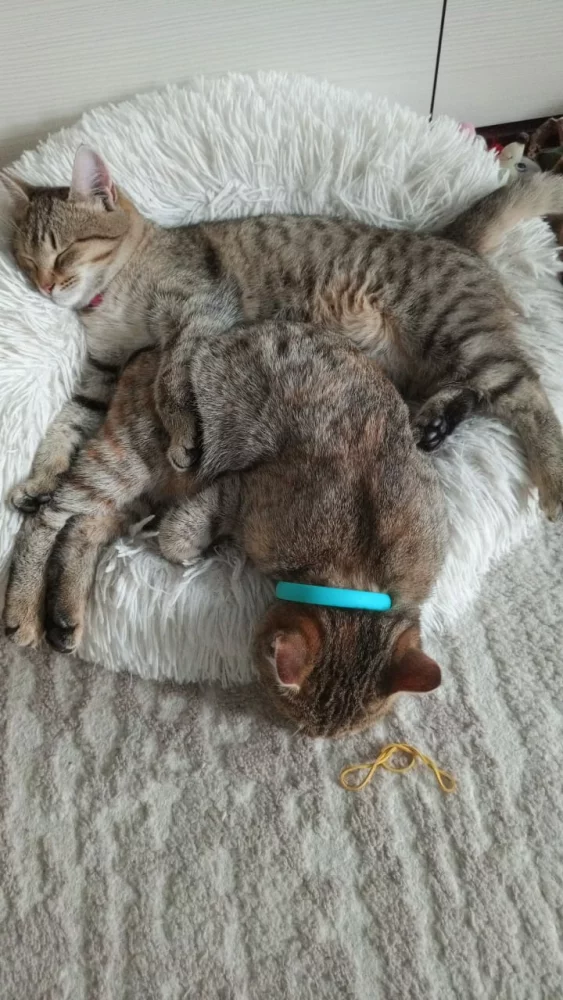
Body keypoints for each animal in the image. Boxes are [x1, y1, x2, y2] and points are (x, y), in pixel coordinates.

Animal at [3, 322, 446, 737]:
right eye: (303, 726)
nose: (313, 740)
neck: (358, 577)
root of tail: (153, 350)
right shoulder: (240, 491)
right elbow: (178, 537)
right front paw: (195, 547)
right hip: (127, 462)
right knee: (51, 517)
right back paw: (23, 607)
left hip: (141, 493)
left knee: (83, 528)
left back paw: (65, 616)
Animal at [4, 146, 563, 520]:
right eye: (27, 261)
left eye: (63, 252)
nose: (45, 285)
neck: (110, 300)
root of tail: (450, 238)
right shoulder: (101, 369)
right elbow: (68, 421)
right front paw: (40, 479)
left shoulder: (199, 311)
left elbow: (169, 379)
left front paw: (182, 432)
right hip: (430, 358)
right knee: (468, 390)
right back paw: (436, 422)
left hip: (456, 329)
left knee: (526, 390)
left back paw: (555, 482)